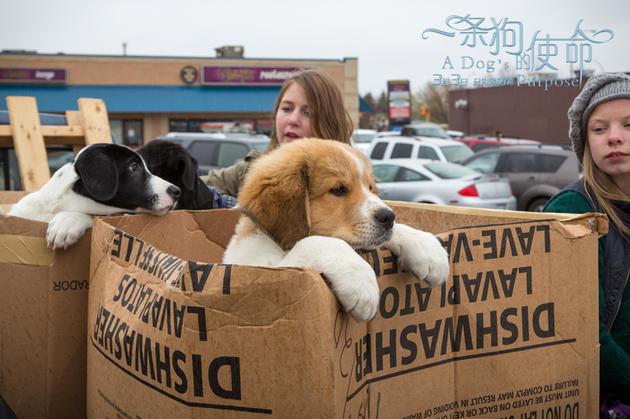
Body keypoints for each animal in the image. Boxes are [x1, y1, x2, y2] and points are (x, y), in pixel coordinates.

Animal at [222, 139, 450, 320]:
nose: (388, 217)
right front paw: (362, 283)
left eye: (370, 188)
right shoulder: (266, 270)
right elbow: (319, 242)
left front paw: (428, 249)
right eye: (338, 190)